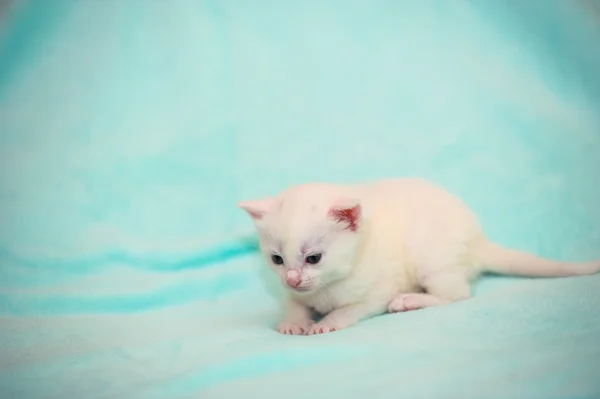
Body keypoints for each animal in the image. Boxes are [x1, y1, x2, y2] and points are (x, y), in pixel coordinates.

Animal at [237, 178, 596, 334]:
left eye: (314, 258)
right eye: (277, 260)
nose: (293, 279)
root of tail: (478, 238)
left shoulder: (377, 292)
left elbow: (349, 310)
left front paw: (326, 323)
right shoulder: (293, 293)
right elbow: (295, 304)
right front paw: (293, 323)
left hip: (432, 260)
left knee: (458, 295)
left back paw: (411, 301)